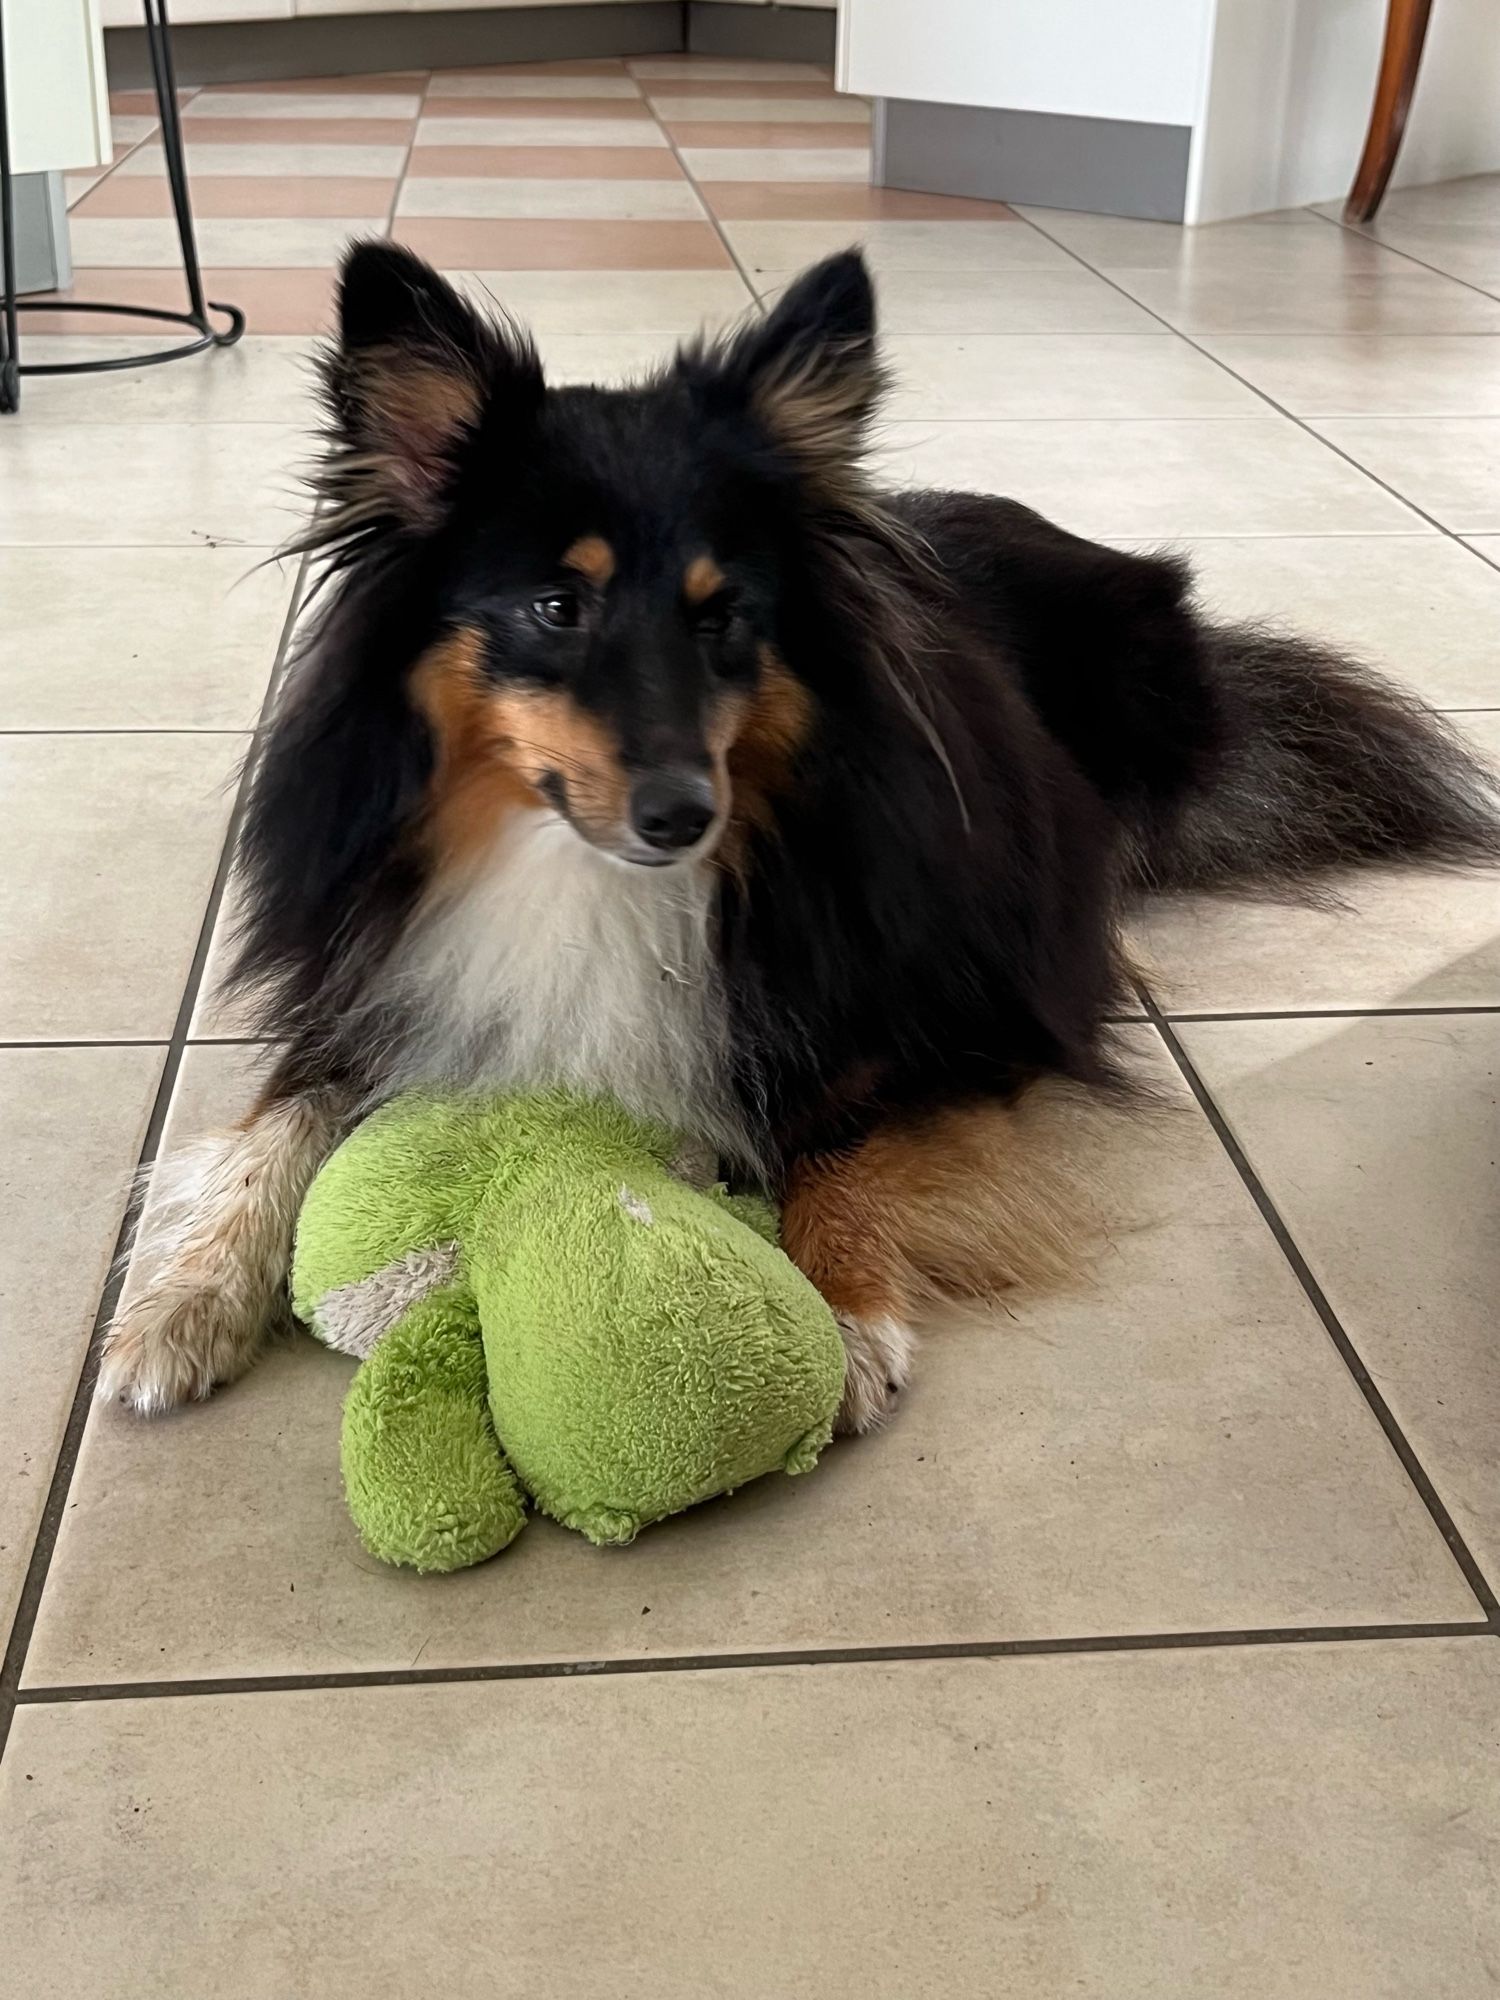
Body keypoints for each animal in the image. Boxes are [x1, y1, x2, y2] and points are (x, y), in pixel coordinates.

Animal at [97, 242, 1500, 1440]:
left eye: (724, 614)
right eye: (556, 604)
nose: (682, 814)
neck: (576, 872)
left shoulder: (966, 1017)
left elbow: (842, 1136)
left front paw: (842, 1312)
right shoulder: (374, 980)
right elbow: (270, 1128)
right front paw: (177, 1306)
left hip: (1138, 712)